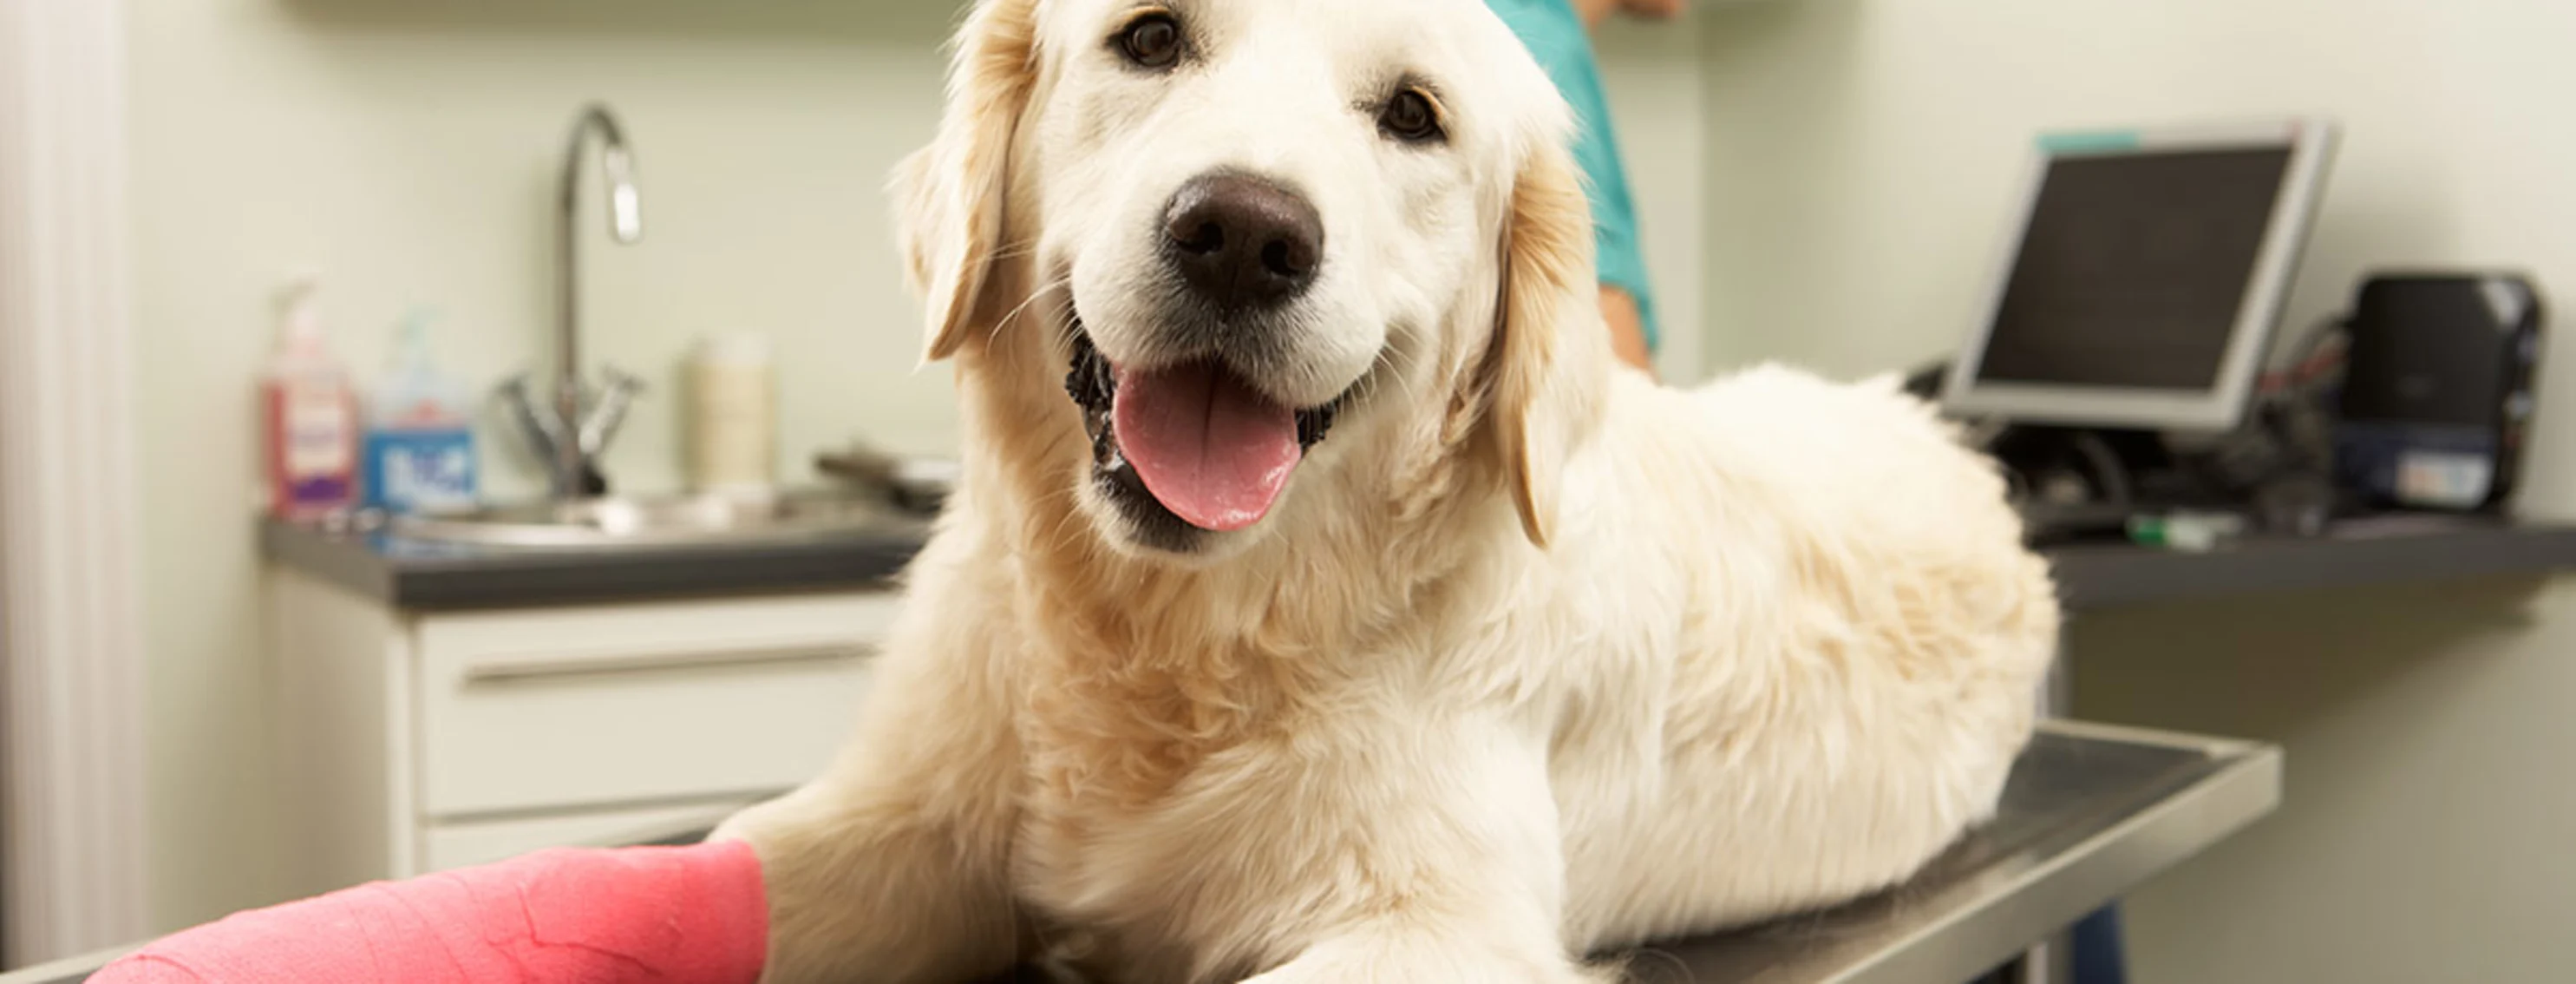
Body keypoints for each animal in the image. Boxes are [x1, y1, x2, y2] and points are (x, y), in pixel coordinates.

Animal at [716, 0, 2061, 979]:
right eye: (1150, 38)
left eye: (1414, 115)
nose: (1243, 235)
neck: (1178, 637)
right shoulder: (900, 819)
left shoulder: (1444, 924)